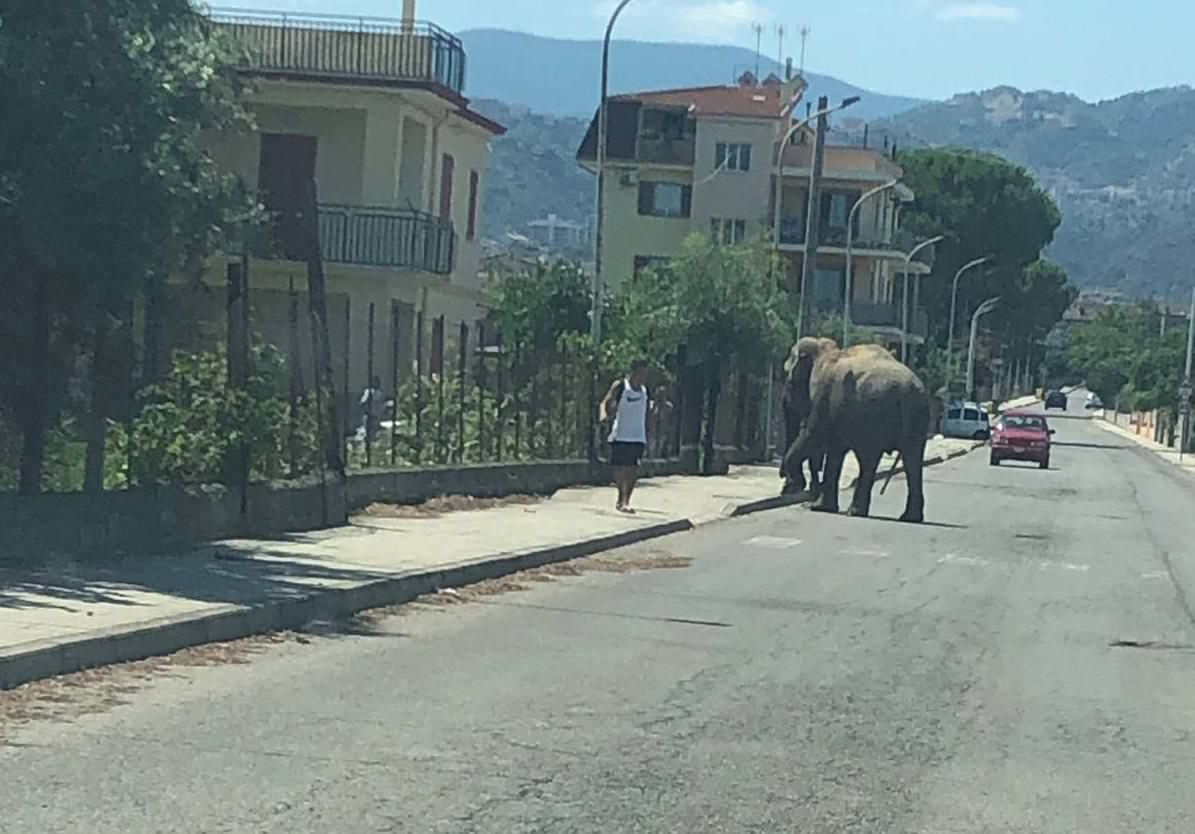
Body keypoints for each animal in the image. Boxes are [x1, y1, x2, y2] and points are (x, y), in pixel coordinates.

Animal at [780, 337, 931, 522]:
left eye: (788, 379)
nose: (784, 483)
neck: (824, 349)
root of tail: (906, 388)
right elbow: (834, 450)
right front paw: (819, 506)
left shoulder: (823, 393)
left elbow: (812, 435)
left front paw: (805, 498)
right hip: (918, 413)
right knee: (912, 460)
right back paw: (909, 517)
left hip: (873, 413)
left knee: (869, 459)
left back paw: (855, 511)